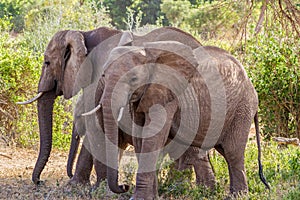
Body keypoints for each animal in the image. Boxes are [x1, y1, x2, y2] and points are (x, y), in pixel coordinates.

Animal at [84, 39, 270, 198]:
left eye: (134, 78)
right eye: (103, 76)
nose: (124, 186)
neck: (147, 53)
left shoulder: (167, 95)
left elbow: (153, 135)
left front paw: (139, 198)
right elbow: (140, 137)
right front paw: (152, 197)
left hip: (242, 108)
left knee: (232, 152)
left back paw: (237, 196)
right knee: (224, 150)